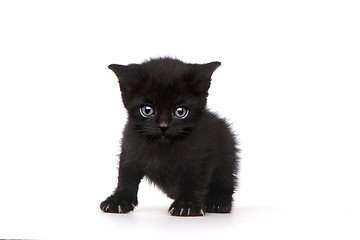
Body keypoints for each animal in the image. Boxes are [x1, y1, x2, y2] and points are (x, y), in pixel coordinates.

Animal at [99, 57, 239, 217]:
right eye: (147, 110)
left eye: (180, 111)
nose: (163, 126)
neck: (163, 146)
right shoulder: (130, 147)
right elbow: (126, 175)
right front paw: (118, 200)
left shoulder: (201, 155)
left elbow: (194, 179)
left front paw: (187, 204)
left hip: (227, 154)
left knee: (226, 182)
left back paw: (218, 201)